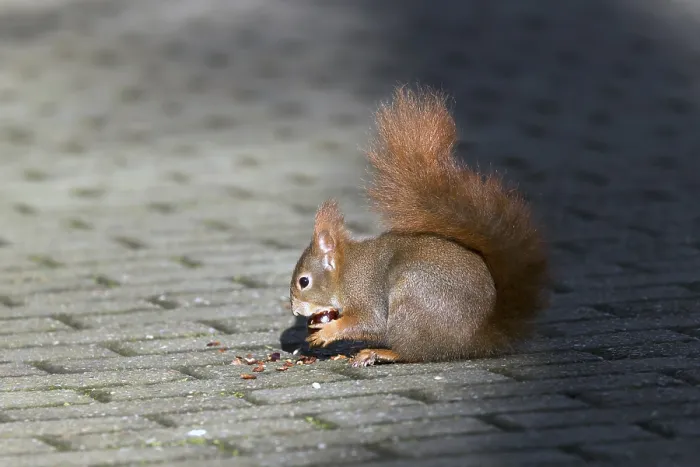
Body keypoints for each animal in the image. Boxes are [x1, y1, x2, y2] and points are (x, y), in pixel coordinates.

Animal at [289, 86, 549, 367]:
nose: (295, 310)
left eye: (304, 281)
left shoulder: (366, 294)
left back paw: (378, 352)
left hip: (410, 301)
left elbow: (370, 321)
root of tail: (473, 340)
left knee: (413, 353)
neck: (345, 272)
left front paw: (327, 331)